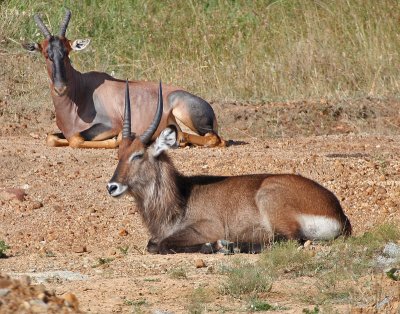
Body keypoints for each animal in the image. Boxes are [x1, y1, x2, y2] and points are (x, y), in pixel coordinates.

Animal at [23, 8, 225, 148]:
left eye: (66, 52)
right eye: (46, 54)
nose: (60, 88)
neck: (81, 93)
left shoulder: (111, 124)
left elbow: (76, 139)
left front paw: (116, 139)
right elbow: (52, 138)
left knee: (214, 139)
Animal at [105, 82, 350, 254]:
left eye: (138, 155)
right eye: (119, 155)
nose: (112, 187)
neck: (181, 196)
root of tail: (338, 212)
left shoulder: (206, 227)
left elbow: (160, 245)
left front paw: (211, 245)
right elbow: (152, 243)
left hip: (270, 198)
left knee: (287, 241)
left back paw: (228, 245)